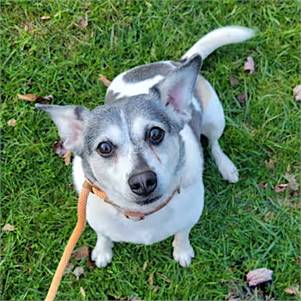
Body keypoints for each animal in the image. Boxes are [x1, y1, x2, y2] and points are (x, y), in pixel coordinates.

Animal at [37, 25, 253, 264]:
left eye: (155, 133)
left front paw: (182, 251)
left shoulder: (189, 217)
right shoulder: (96, 220)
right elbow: (103, 234)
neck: (142, 215)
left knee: (214, 143)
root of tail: (176, 62)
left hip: (214, 118)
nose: (143, 181)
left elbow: (182, 233)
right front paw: (102, 251)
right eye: (104, 148)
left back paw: (227, 167)